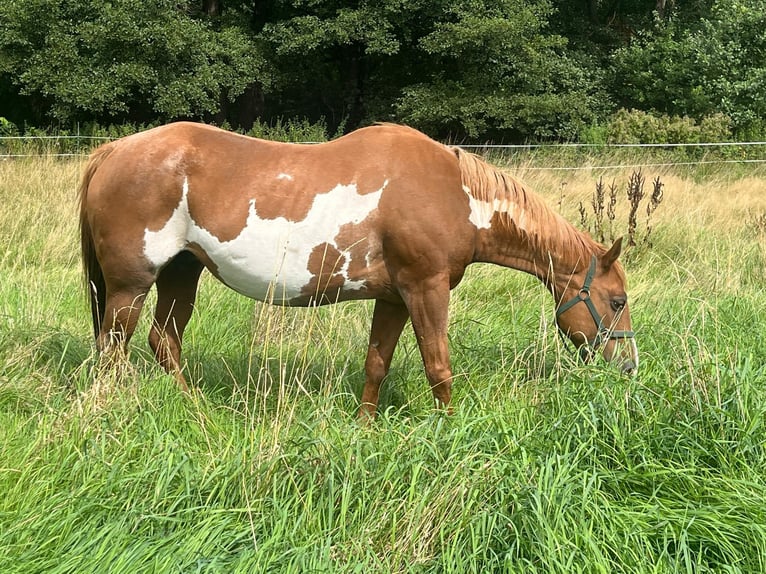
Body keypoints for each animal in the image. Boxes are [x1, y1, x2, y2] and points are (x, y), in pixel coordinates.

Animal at [79, 121, 640, 418]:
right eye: (617, 301)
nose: (629, 367)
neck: (452, 193)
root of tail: (115, 150)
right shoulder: (426, 289)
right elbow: (439, 367)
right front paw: (450, 430)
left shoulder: (393, 297)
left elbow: (377, 364)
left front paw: (366, 427)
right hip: (130, 286)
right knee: (113, 349)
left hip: (181, 273)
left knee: (163, 342)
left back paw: (196, 409)